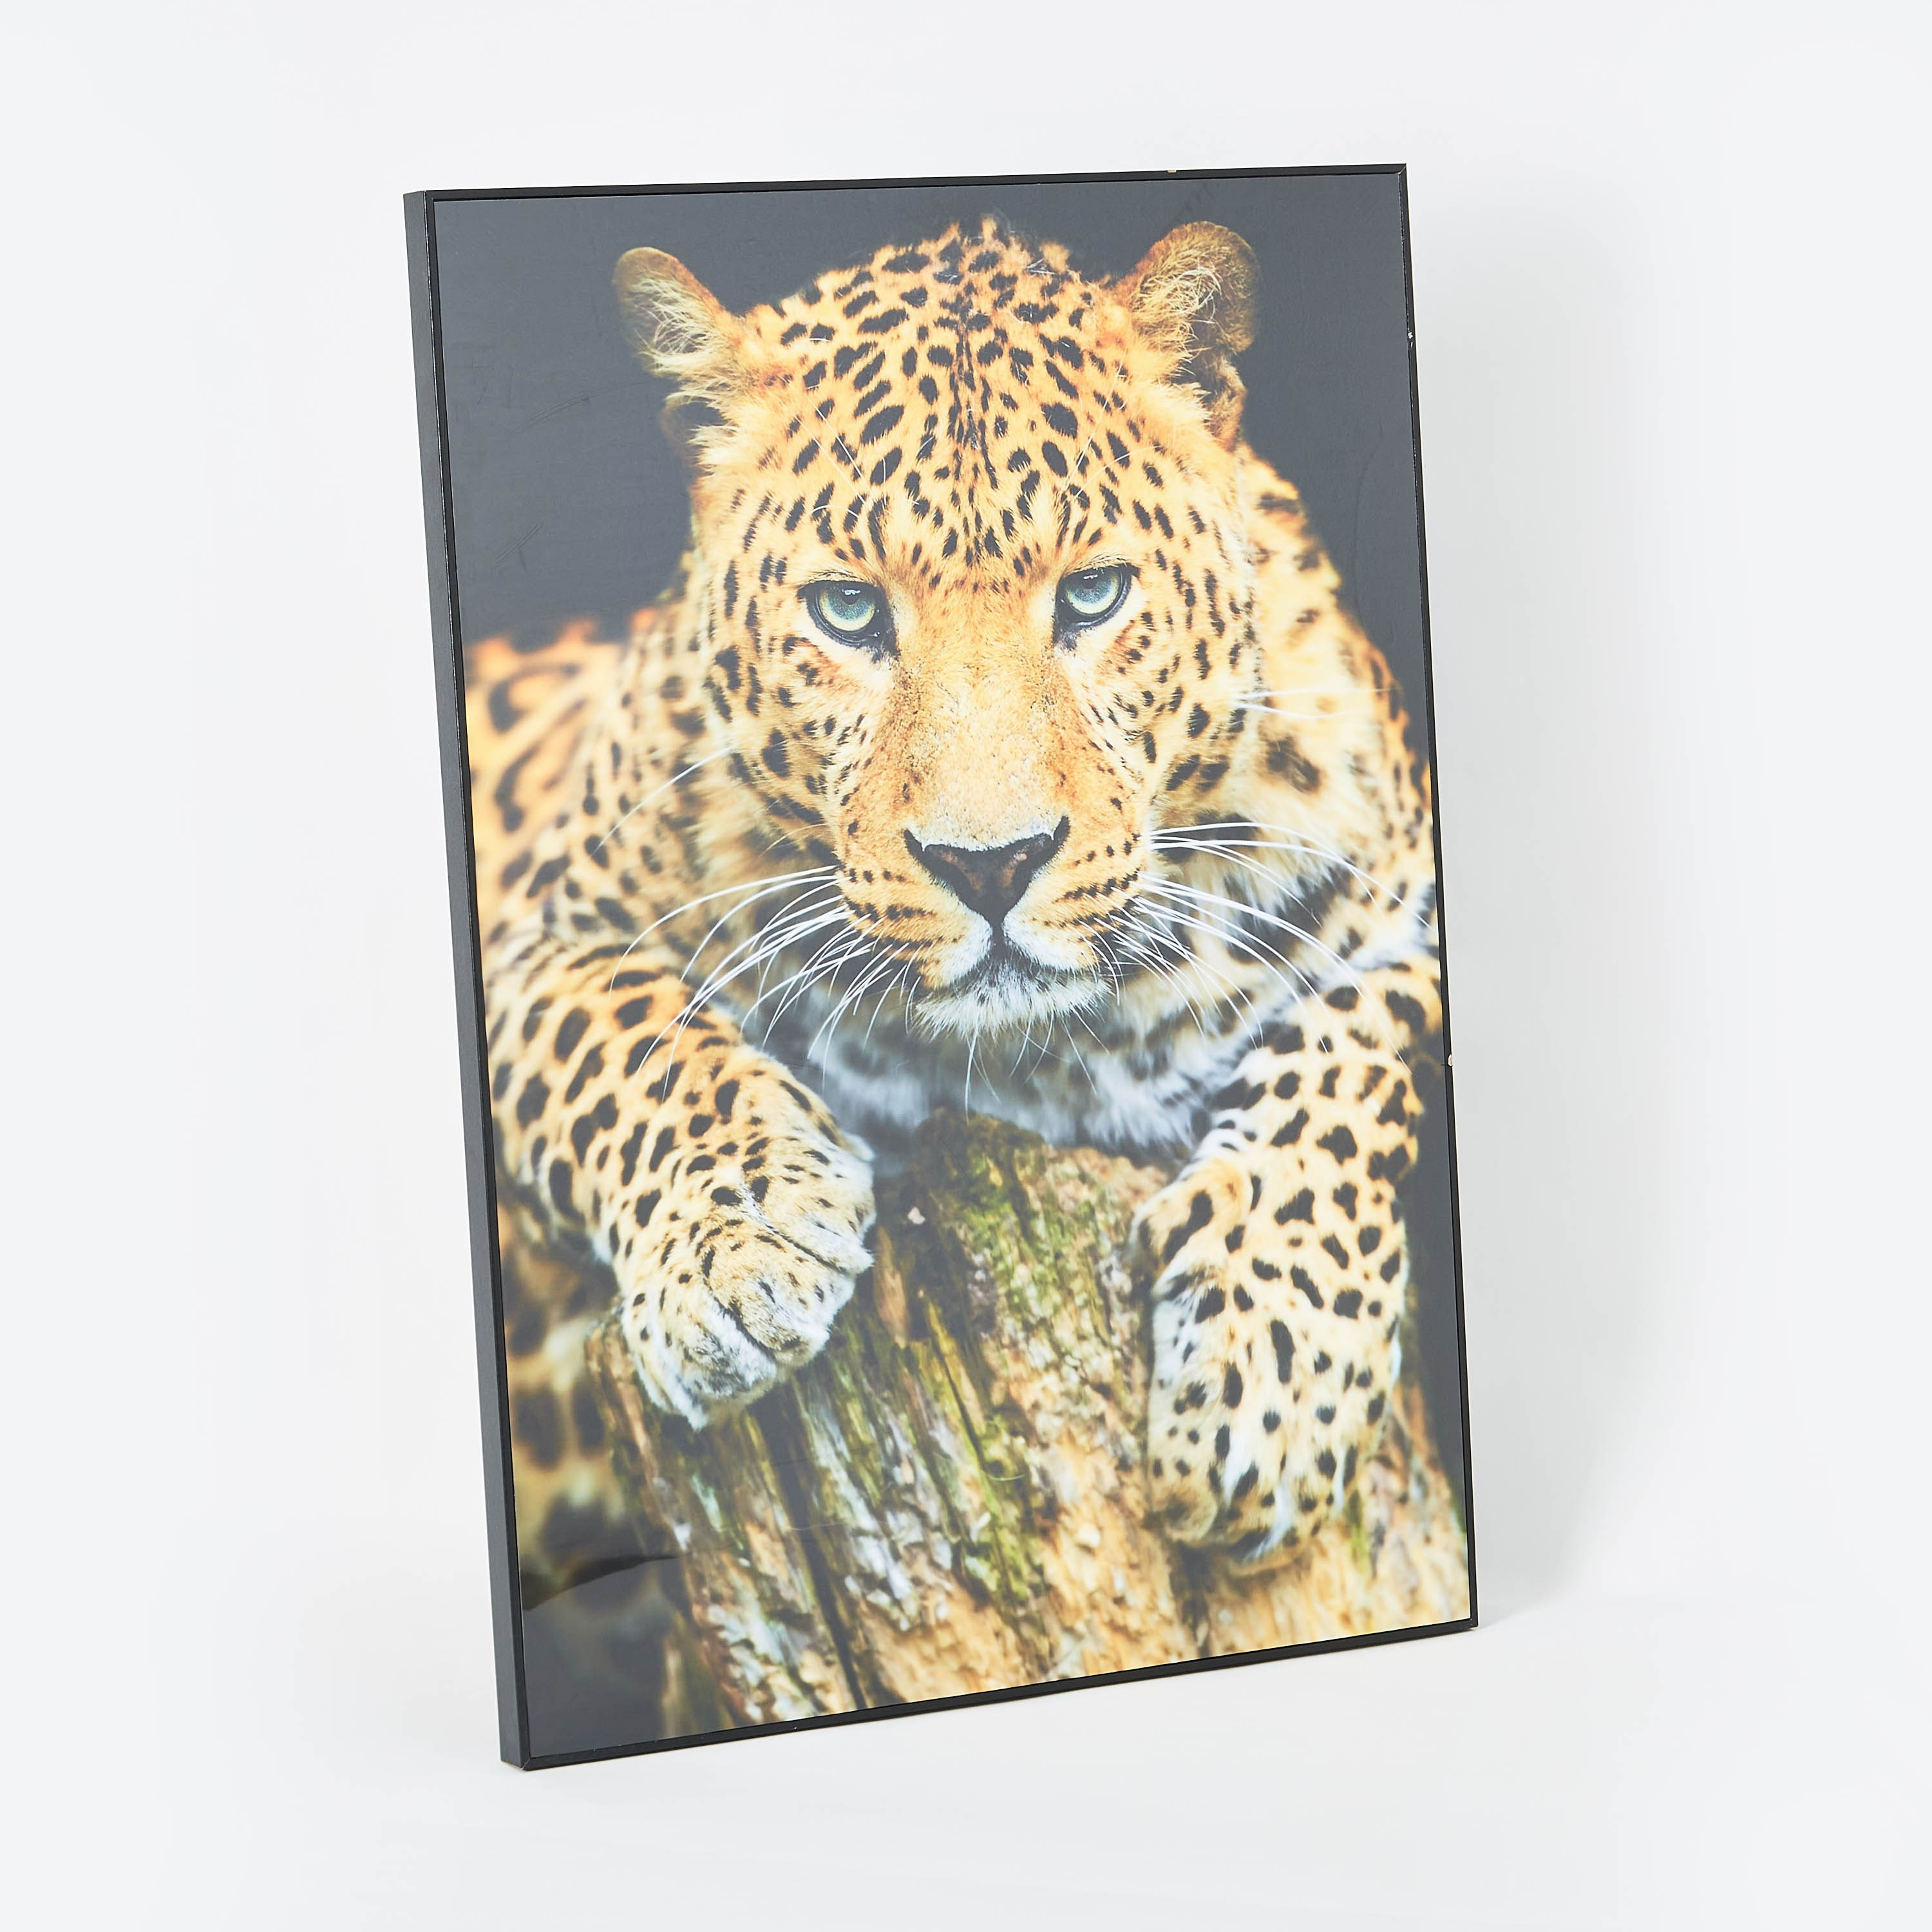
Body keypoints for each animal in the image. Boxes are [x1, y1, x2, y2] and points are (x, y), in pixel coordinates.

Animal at [467, 216, 1443, 1572]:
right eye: (846, 610)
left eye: (1092, 596)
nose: (993, 866)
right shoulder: (539, 942)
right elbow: (635, 1042)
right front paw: (739, 1249)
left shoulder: (1404, 908)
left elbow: (1355, 1070)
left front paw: (1273, 1368)